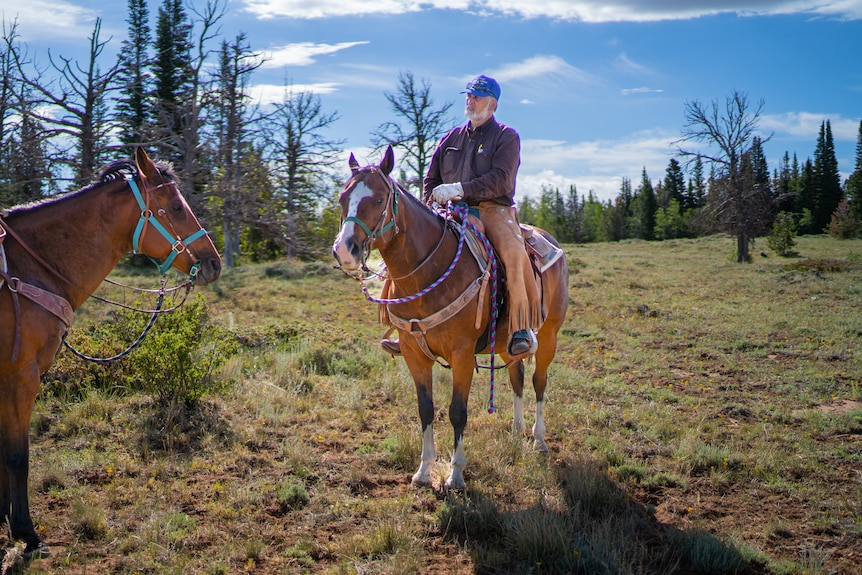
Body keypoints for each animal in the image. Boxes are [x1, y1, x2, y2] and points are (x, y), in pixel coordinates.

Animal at [0, 147, 223, 560]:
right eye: (176, 206)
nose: (213, 263)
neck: (27, 269)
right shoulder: (21, 375)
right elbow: (17, 456)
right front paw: (27, 533)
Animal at [334, 145, 572, 490]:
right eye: (342, 198)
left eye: (378, 200)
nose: (343, 251)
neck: (427, 274)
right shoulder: (413, 353)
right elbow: (426, 409)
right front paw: (423, 471)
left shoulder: (461, 355)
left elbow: (457, 411)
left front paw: (456, 474)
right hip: (507, 339)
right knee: (516, 375)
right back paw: (516, 431)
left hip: (550, 334)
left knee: (539, 381)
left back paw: (538, 440)